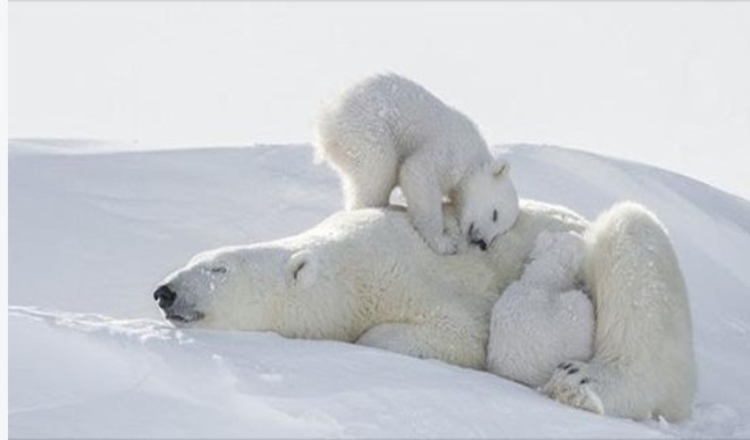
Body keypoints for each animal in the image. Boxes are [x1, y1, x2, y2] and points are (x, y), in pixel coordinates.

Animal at [314, 74, 520, 254]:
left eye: (500, 232)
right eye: (495, 214)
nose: (483, 243)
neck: (475, 158)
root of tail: (325, 118)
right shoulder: (451, 151)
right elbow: (418, 172)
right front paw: (444, 243)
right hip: (367, 129)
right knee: (378, 169)